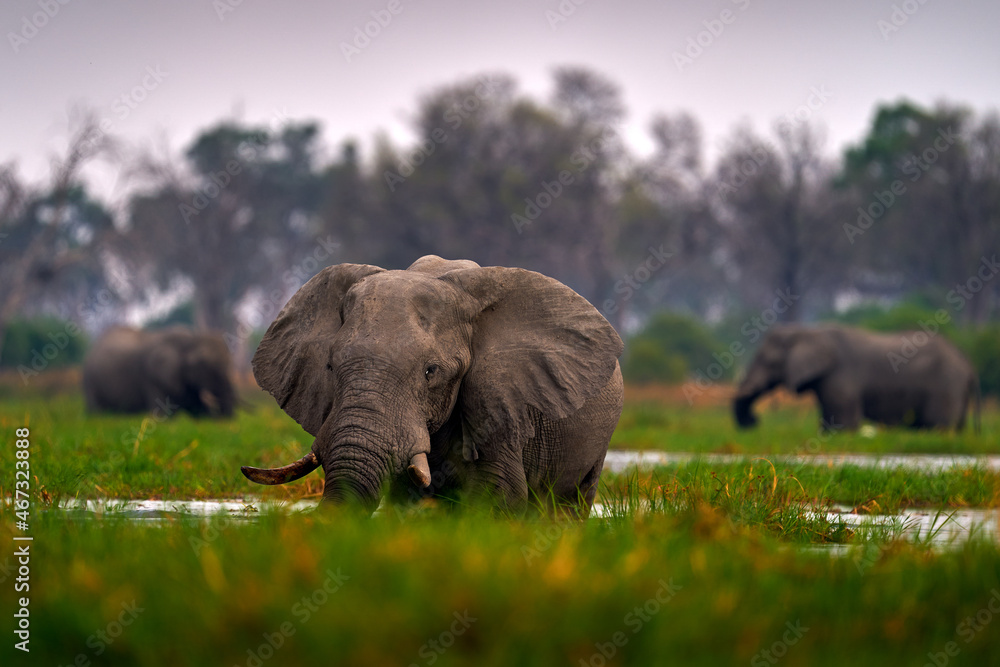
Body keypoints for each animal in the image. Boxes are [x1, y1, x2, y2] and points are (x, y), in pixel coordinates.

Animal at [83, 326, 236, 418]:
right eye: (206, 368)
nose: (225, 418)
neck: (190, 340)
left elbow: (196, 408)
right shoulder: (151, 376)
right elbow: (161, 414)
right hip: (90, 378)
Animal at [733, 324, 980, 432]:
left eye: (767, 361)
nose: (754, 421)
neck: (807, 332)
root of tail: (968, 363)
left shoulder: (840, 376)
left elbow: (843, 421)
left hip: (946, 385)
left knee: (937, 425)